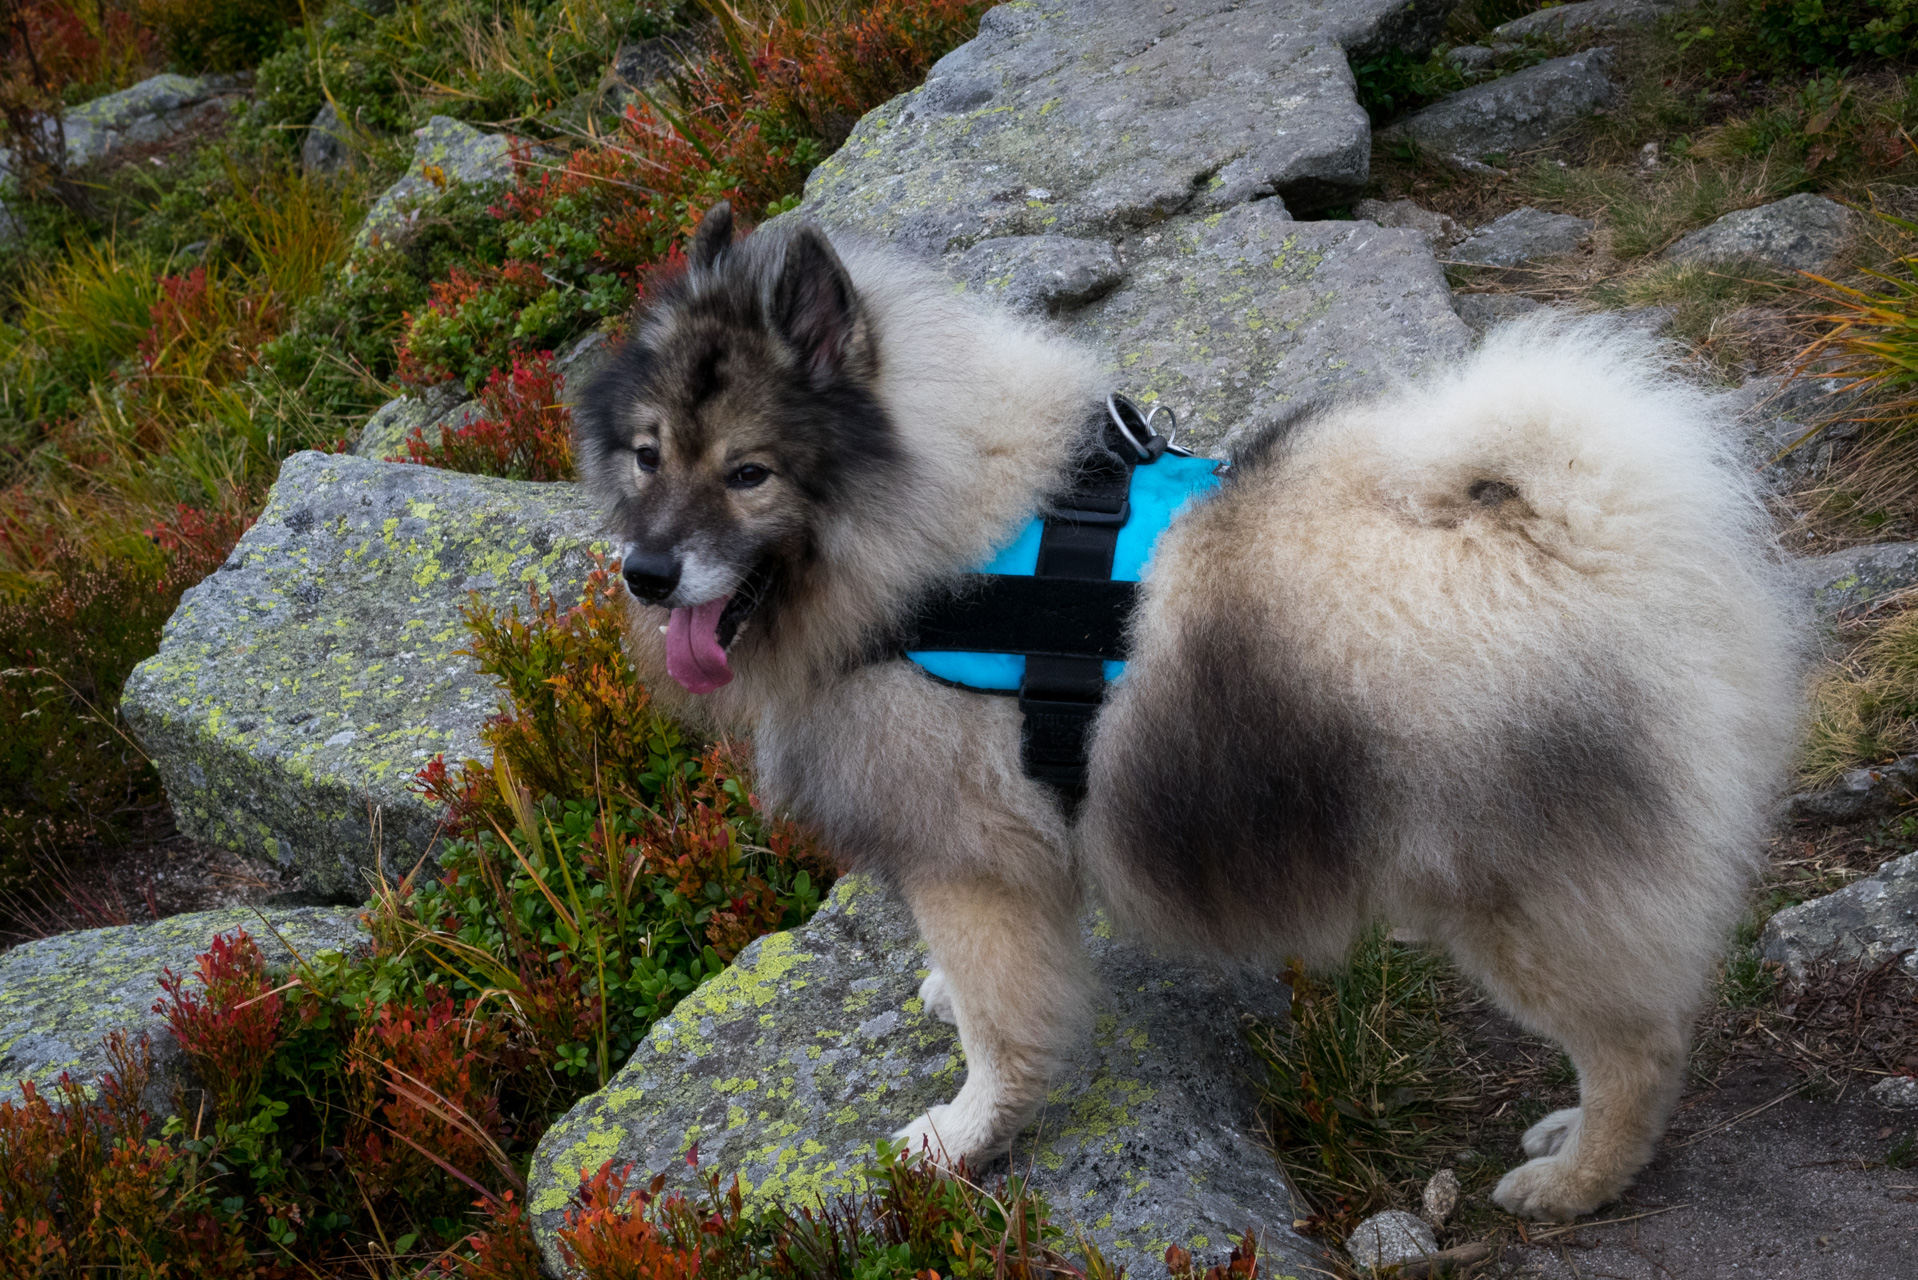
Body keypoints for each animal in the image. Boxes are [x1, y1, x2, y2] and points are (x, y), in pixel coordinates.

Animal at [575, 202, 1802, 1220]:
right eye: (646, 457)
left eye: (749, 473)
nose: (647, 572)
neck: (932, 547)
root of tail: (1591, 536)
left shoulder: (965, 859)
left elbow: (1001, 1026)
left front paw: (960, 1137)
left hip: (1525, 904)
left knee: (1637, 1048)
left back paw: (1575, 1177)